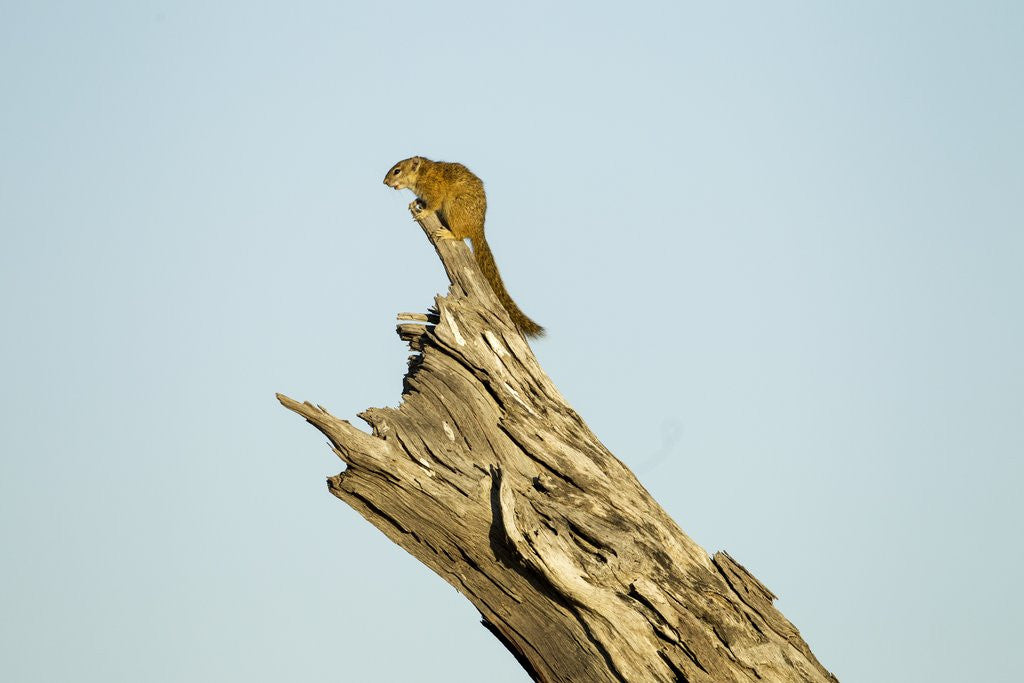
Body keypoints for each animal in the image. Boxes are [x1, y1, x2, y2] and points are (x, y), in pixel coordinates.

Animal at [383, 156, 545, 338]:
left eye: (397, 171)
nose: (385, 182)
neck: (422, 174)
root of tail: (477, 229)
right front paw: (415, 202)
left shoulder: (434, 190)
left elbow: (433, 205)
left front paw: (423, 212)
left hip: (454, 208)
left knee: (460, 235)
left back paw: (448, 234)